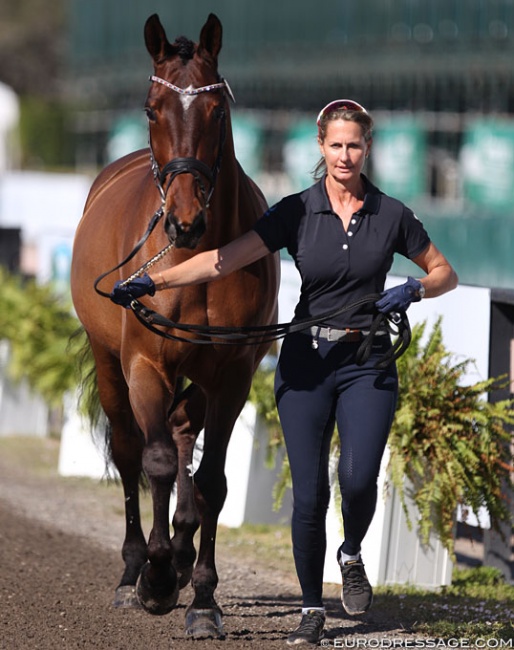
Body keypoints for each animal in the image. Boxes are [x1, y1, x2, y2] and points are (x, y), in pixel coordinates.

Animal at [70, 13, 278, 636]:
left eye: (217, 111)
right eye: (150, 109)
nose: (185, 220)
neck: (198, 257)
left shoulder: (232, 373)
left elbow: (212, 480)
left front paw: (203, 597)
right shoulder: (144, 362)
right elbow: (155, 460)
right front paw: (155, 579)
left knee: (184, 429)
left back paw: (182, 552)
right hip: (109, 363)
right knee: (130, 449)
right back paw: (134, 570)